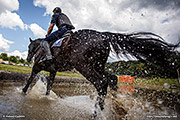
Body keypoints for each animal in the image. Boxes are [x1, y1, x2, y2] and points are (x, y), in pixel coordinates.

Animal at [22, 29, 179, 113]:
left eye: (30, 47)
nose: (28, 58)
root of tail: (102, 35)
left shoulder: (37, 67)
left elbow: (30, 78)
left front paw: (23, 91)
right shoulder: (53, 71)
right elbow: (49, 85)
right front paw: (47, 97)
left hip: (84, 66)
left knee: (102, 83)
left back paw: (98, 111)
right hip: (98, 66)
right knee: (112, 78)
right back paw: (116, 105)